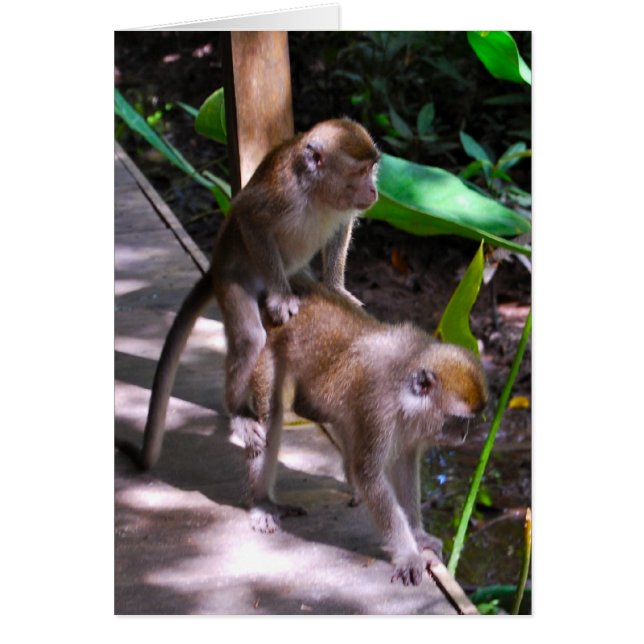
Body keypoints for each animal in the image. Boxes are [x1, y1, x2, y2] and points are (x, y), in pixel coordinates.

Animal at [115, 119, 380, 470]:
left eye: (372, 169)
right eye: (361, 171)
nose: (374, 190)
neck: (317, 192)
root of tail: (215, 265)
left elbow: (340, 229)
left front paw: (336, 288)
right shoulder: (282, 194)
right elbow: (251, 219)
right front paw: (281, 297)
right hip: (231, 279)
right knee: (250, 338)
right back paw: (239, 413)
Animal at [246, 277, 488, 586]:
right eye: (456, 420)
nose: (464, 436)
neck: (402, 388)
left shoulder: (409, 427)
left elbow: (405, 466)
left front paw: (417, 534)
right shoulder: (377, 408)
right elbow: (370, 477)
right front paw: (408, 554)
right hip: (267, 352)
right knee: (271, 419)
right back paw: (262, 502)